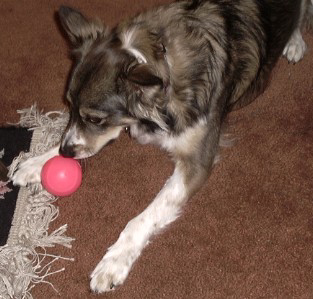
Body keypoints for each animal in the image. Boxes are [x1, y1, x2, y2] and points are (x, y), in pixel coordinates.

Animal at [11, 0, 310, 296]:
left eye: (95, 119)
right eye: (69, 106)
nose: (65, 153)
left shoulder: (197, 163)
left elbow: (144, 217)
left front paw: (114, 261)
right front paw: (37, 161)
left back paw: (295, 42)